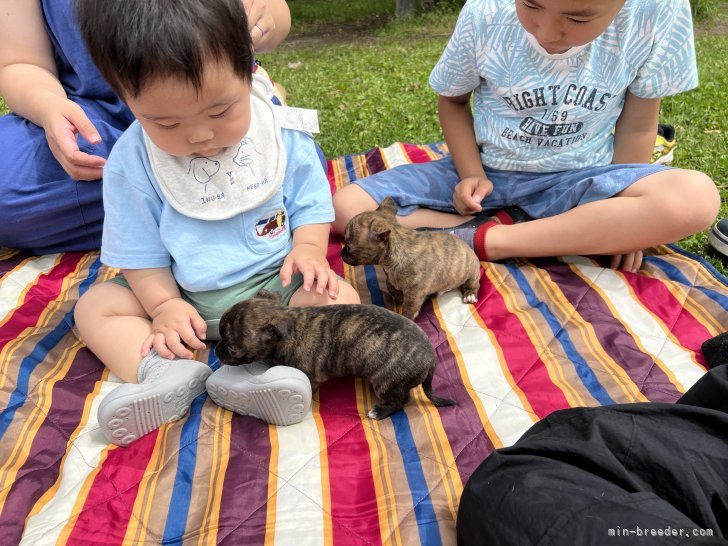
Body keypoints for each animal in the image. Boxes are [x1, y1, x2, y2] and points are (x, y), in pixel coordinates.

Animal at [215, 288, 456, 416]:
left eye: (232, 347)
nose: (217, 351)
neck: (292, 324)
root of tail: (431, 360)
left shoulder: (311, 377)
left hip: (386, 382)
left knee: (402, 400)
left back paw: (379, 412)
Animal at [342, 196, 484, 318]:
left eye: (348, 246)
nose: (341, 253)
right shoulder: (392, 280)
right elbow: (391, 287)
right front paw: (398, 295)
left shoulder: (414, 293)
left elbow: (408, 308)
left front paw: (407, 316)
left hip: (472, 273)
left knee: (472, 284)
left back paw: (470, 294)